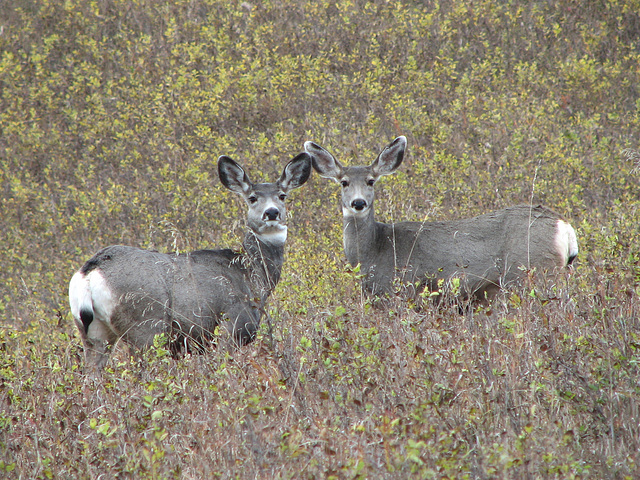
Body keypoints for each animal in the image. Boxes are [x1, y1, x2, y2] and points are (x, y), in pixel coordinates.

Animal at [68, 152, 312, 370]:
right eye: (252, 198)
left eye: (282, 196)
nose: (271, 213)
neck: (251, 275)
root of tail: (91, 270)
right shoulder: (231, 325)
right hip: (146, 327)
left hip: (94, 332)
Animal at [304, 135, 580, 302]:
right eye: (344, 182)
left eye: (371, 181)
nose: (358, 203)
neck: (376, 250)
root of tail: (563, 226)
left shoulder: (403, 291)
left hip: (534, 271)